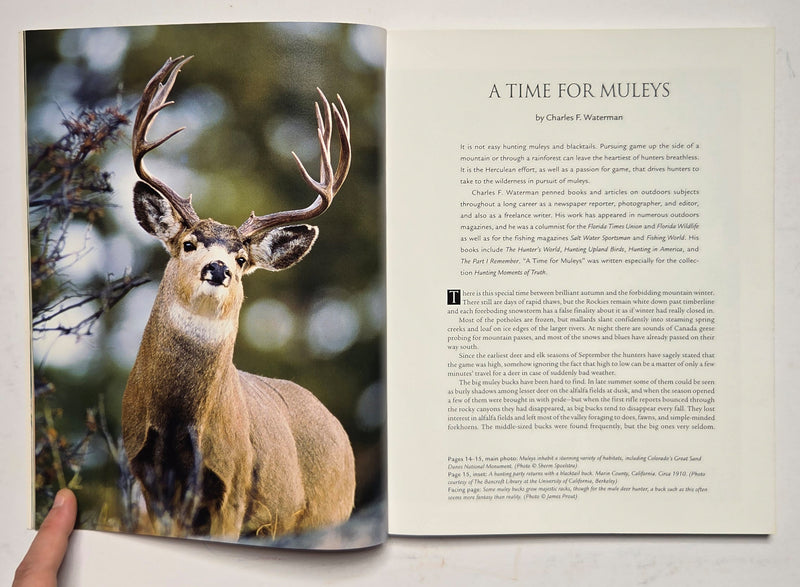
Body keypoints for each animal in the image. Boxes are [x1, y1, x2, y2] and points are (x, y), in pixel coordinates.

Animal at [120, 55, 355, 541]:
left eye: (242, 257)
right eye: (189, 243)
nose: (219, 268)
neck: (177, 421)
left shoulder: (234, 486)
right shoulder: (147, 480)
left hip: (324, 517)